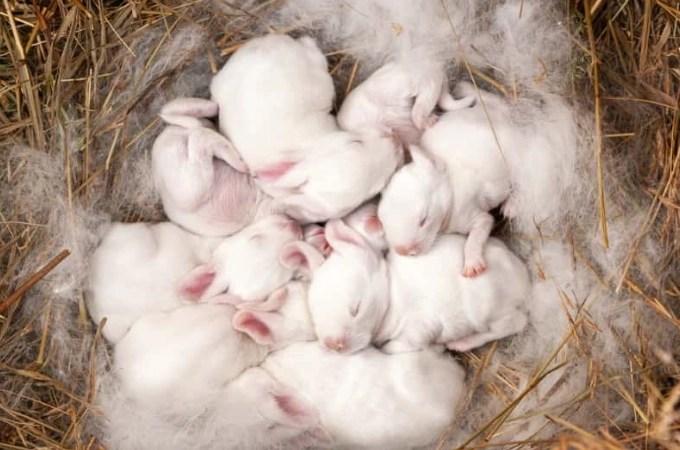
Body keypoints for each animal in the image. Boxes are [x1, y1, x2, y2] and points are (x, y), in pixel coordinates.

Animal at [308, 219, 530, 355]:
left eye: (356, 309)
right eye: (316, 315)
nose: (333, 345)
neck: (391, 293)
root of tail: (523, 280)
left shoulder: (422, 326)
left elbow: (402, 345)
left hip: (489, 310)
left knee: (514, 324)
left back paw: (461, 344)